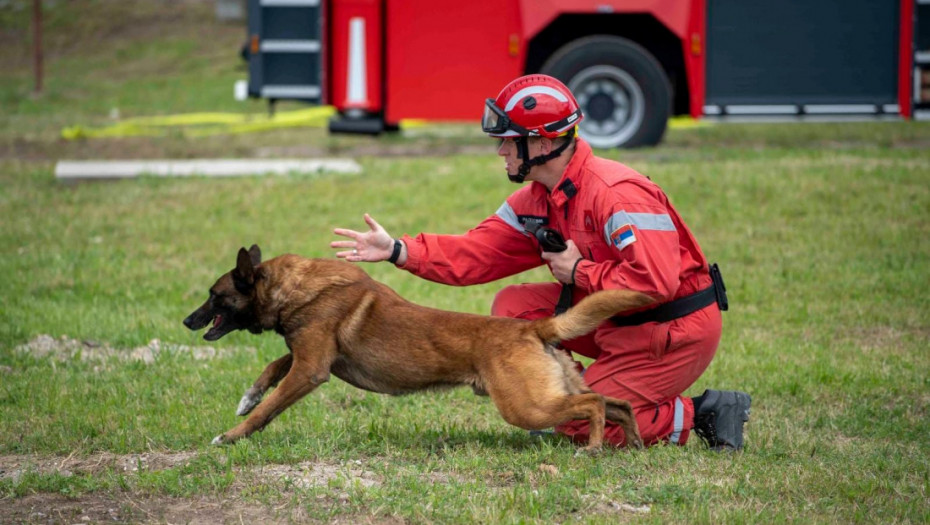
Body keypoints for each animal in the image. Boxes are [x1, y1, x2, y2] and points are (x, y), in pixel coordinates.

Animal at [183, 246, 652, 450]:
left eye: (214, 296)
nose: (188, 321)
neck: (293, 287)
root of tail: (534, 329)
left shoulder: (312, 368)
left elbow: (269, 406)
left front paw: (232, 435)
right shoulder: (311, 357)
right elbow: (273, 367)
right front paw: (247, 397)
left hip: (525, 407)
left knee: (594, 404)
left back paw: (594, 447)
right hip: (551, 392)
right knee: (617, 403)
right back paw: (632, 443)